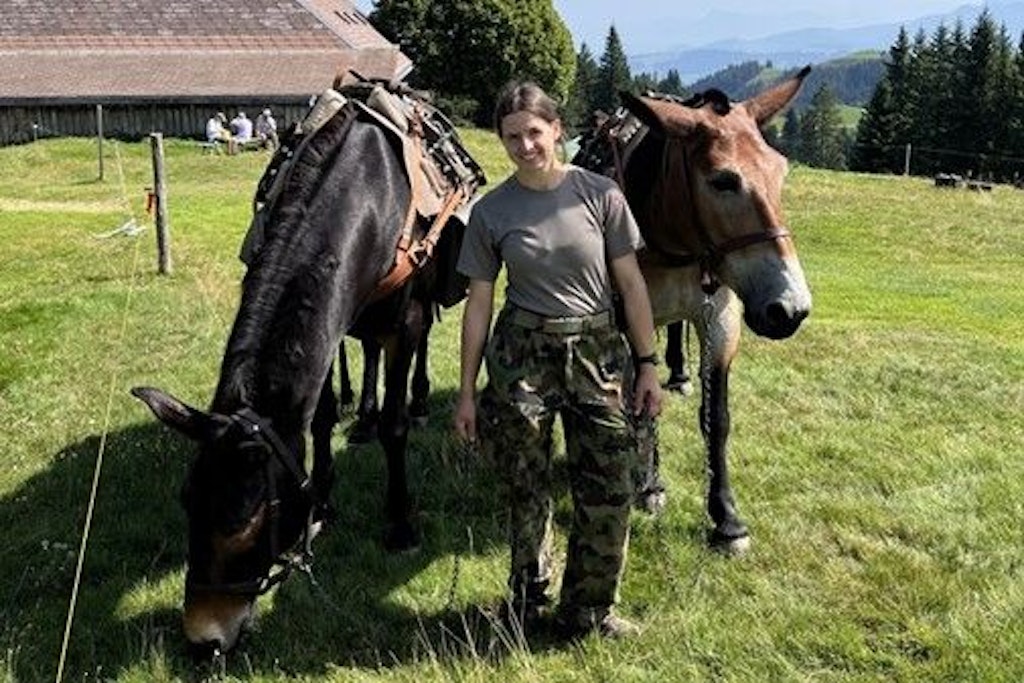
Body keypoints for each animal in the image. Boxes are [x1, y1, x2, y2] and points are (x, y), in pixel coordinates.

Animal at [131, 80, 483, 656]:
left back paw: (418, 399)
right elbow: (318, 416)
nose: (203, 639)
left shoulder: (405, 319)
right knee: (367, 356)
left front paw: (400, 523)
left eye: (249, 524)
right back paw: (361, 418)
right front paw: (323, 499)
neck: (370, 195)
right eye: (186, 501)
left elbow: (396, 426)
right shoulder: (334, 318)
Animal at [574, 66, 813, 554]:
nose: (791, 309)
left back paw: (682, 374)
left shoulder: (720, 319)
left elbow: (717, 419)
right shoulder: (629, 321)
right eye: (723, 181)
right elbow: (640, 403)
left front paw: (727, 519)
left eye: (780, 171)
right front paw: (648, 484)